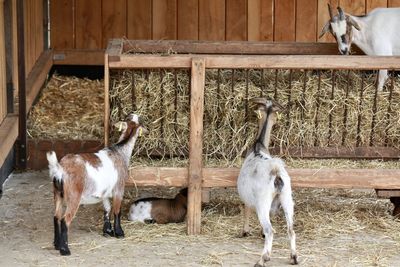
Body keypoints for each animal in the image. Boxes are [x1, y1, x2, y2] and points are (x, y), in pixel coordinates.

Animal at [47, 114, 147, 256]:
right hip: (74, 196)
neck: (120, 151)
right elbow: (117, 211)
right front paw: (119, 232)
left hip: (57, 194)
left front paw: (107, 231)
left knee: (56, 217)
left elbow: (107, 209)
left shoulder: (104, 193)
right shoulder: (119, 188)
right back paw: (65, 249)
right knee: (65, 220)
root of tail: (60, 169)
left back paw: (57, 244)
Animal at [238, 99, 296, 266]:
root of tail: (276, 171)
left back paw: (263, 259)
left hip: (262, 202)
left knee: (270, 230)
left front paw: (245, 231)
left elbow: (246, 210)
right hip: (287, 197)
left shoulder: (247, 198)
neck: (258, 146)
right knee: (291, 229)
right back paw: (294, 257)